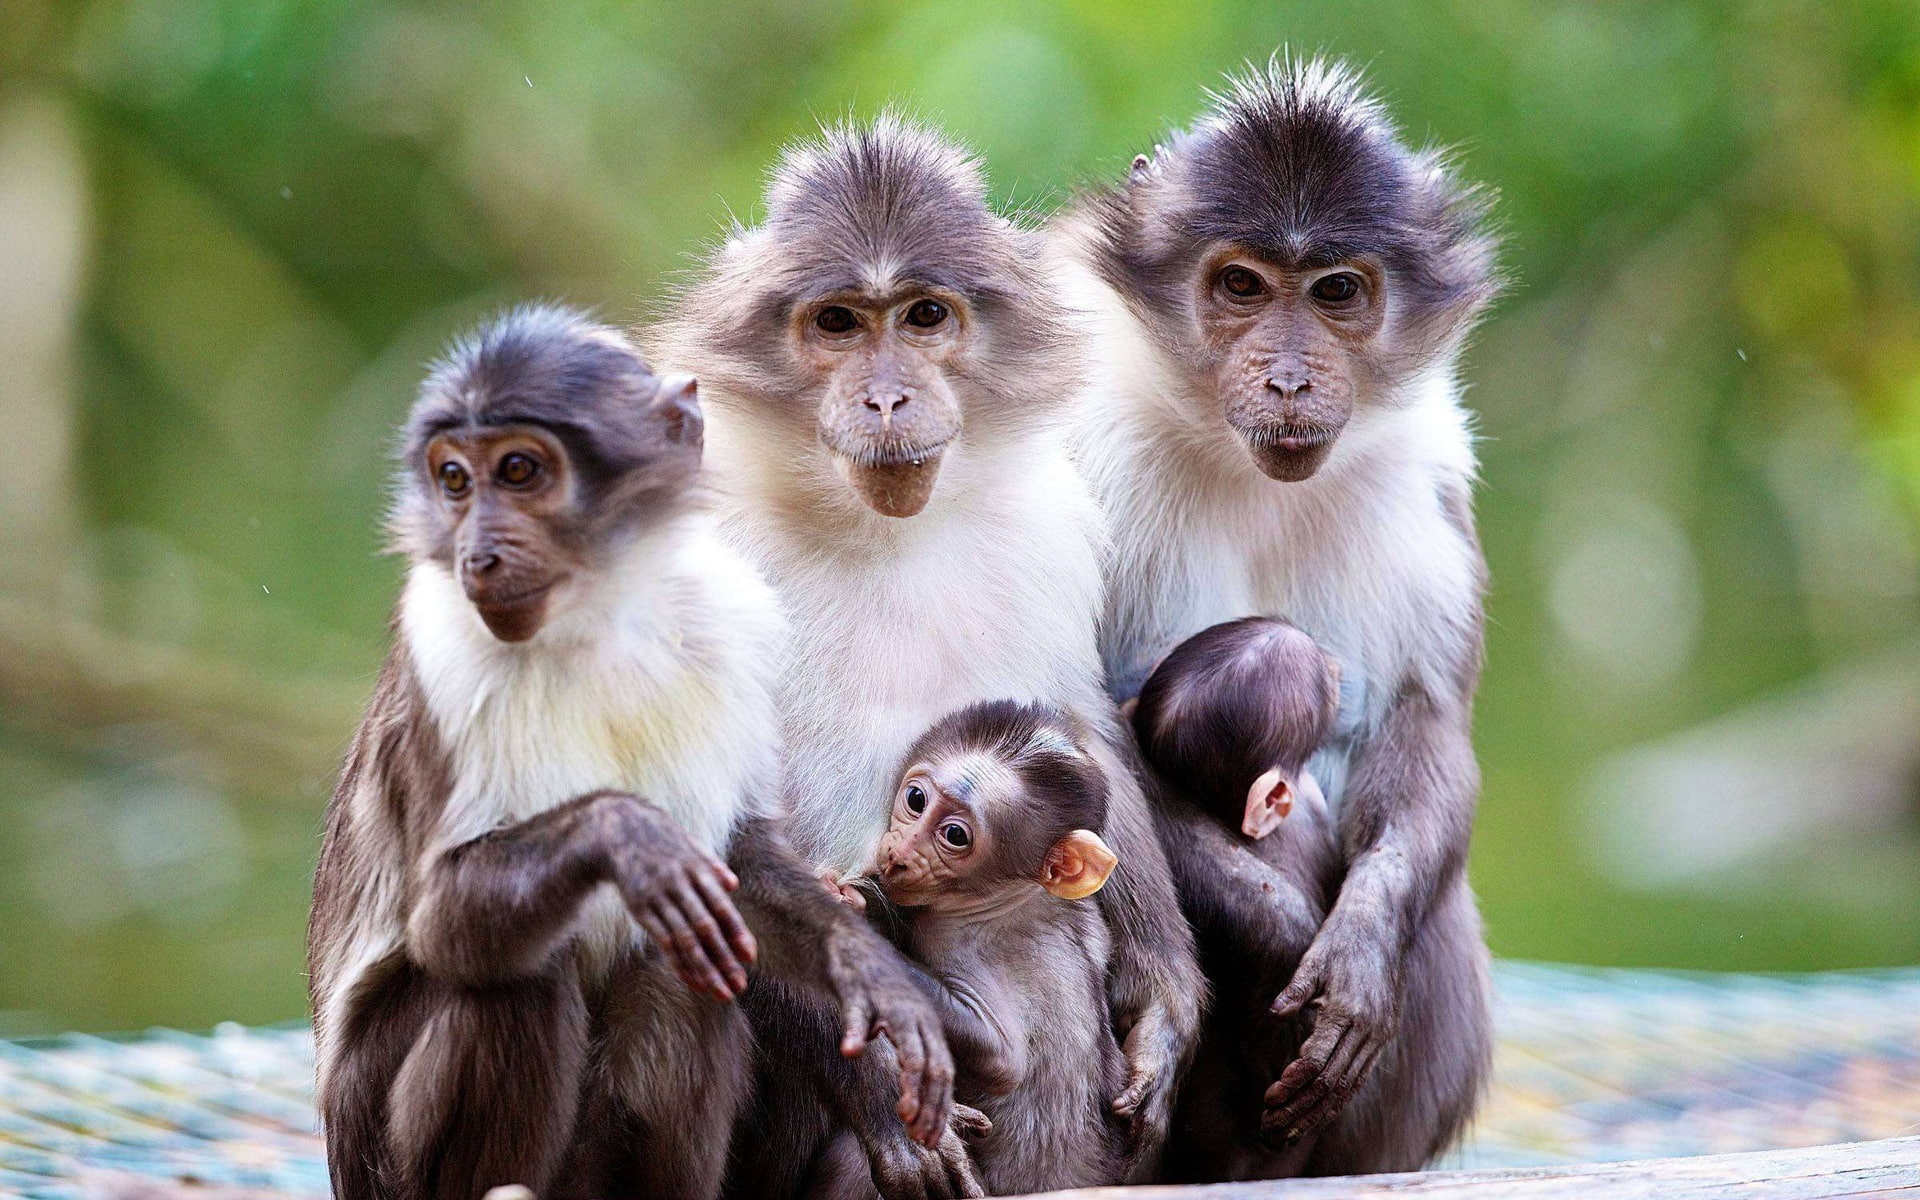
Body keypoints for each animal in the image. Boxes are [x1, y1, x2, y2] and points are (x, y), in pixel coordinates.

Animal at [306, 306, 955, 1200]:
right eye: (455, 481)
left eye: (519, 470)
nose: (479, 552)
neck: (598, 617)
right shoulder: (442, 650)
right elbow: (442, 920)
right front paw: (625, 834)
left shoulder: (737, 613)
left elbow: (745, 863)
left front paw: (869, 972)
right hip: (377, 1150)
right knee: (521, 974)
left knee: (684, 963)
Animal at [648, 115, 1203, 1196]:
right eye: (839, 324)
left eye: (923, 316)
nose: (888, 398)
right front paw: (884, 1094)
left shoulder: (1046, 516)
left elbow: (1079, 733)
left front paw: (1162, 1008)